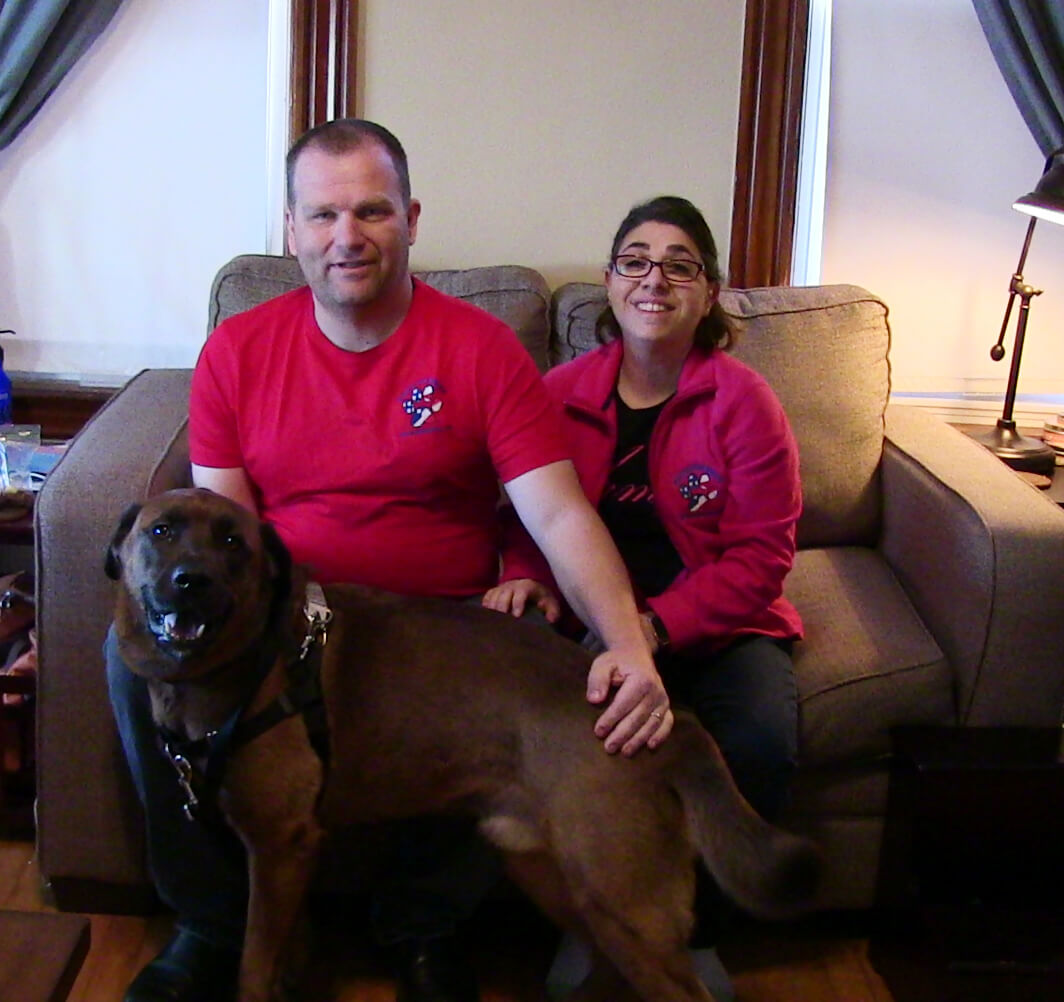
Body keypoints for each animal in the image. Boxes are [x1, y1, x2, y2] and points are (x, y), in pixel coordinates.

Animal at [107, 489, 817, 999]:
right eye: (161, 531)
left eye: (233, 541)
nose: (190, 580)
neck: (246, 665)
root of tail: (670, 721)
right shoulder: (285, 856)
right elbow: (284, 949)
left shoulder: (280, 845)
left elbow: (254, 964)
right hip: (557, 879)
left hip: (624, 903)